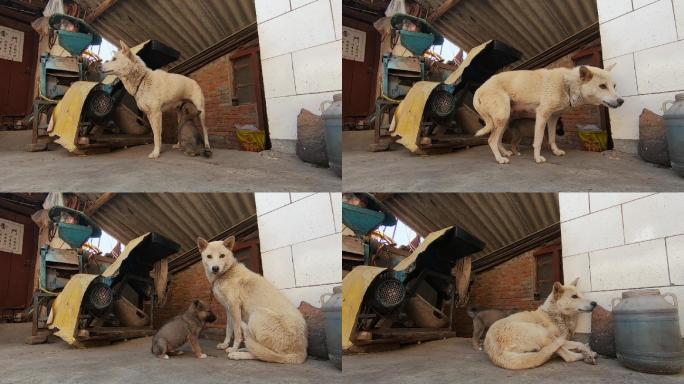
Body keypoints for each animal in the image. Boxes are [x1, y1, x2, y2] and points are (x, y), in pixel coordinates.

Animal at [196, 236, 306, 364]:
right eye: (209, 256)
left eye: (222, 255)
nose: (215, 268)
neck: (226, 273)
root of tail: (301, 353)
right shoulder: (228, 309)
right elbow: (229, 329)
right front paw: (225, 345)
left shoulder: (234, 306)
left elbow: (237, 332)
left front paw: (233, 348)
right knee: (260, 350)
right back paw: (243, 349)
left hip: (257, 314)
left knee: (265, 355)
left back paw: (237, 354)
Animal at [472, 64, 624, 164]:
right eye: (602, 86)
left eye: (614, 86)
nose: (621, 101)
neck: (567, 84)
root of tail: (478, 90)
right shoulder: (542, 114)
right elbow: (538, 141)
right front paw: (537, 158)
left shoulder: (553, 118)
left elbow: (552, 138)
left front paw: (555, 151)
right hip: (502, 117)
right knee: (491, 140)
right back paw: (500, 159)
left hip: (504, 120)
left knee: (497, 140)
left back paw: (505, 153)